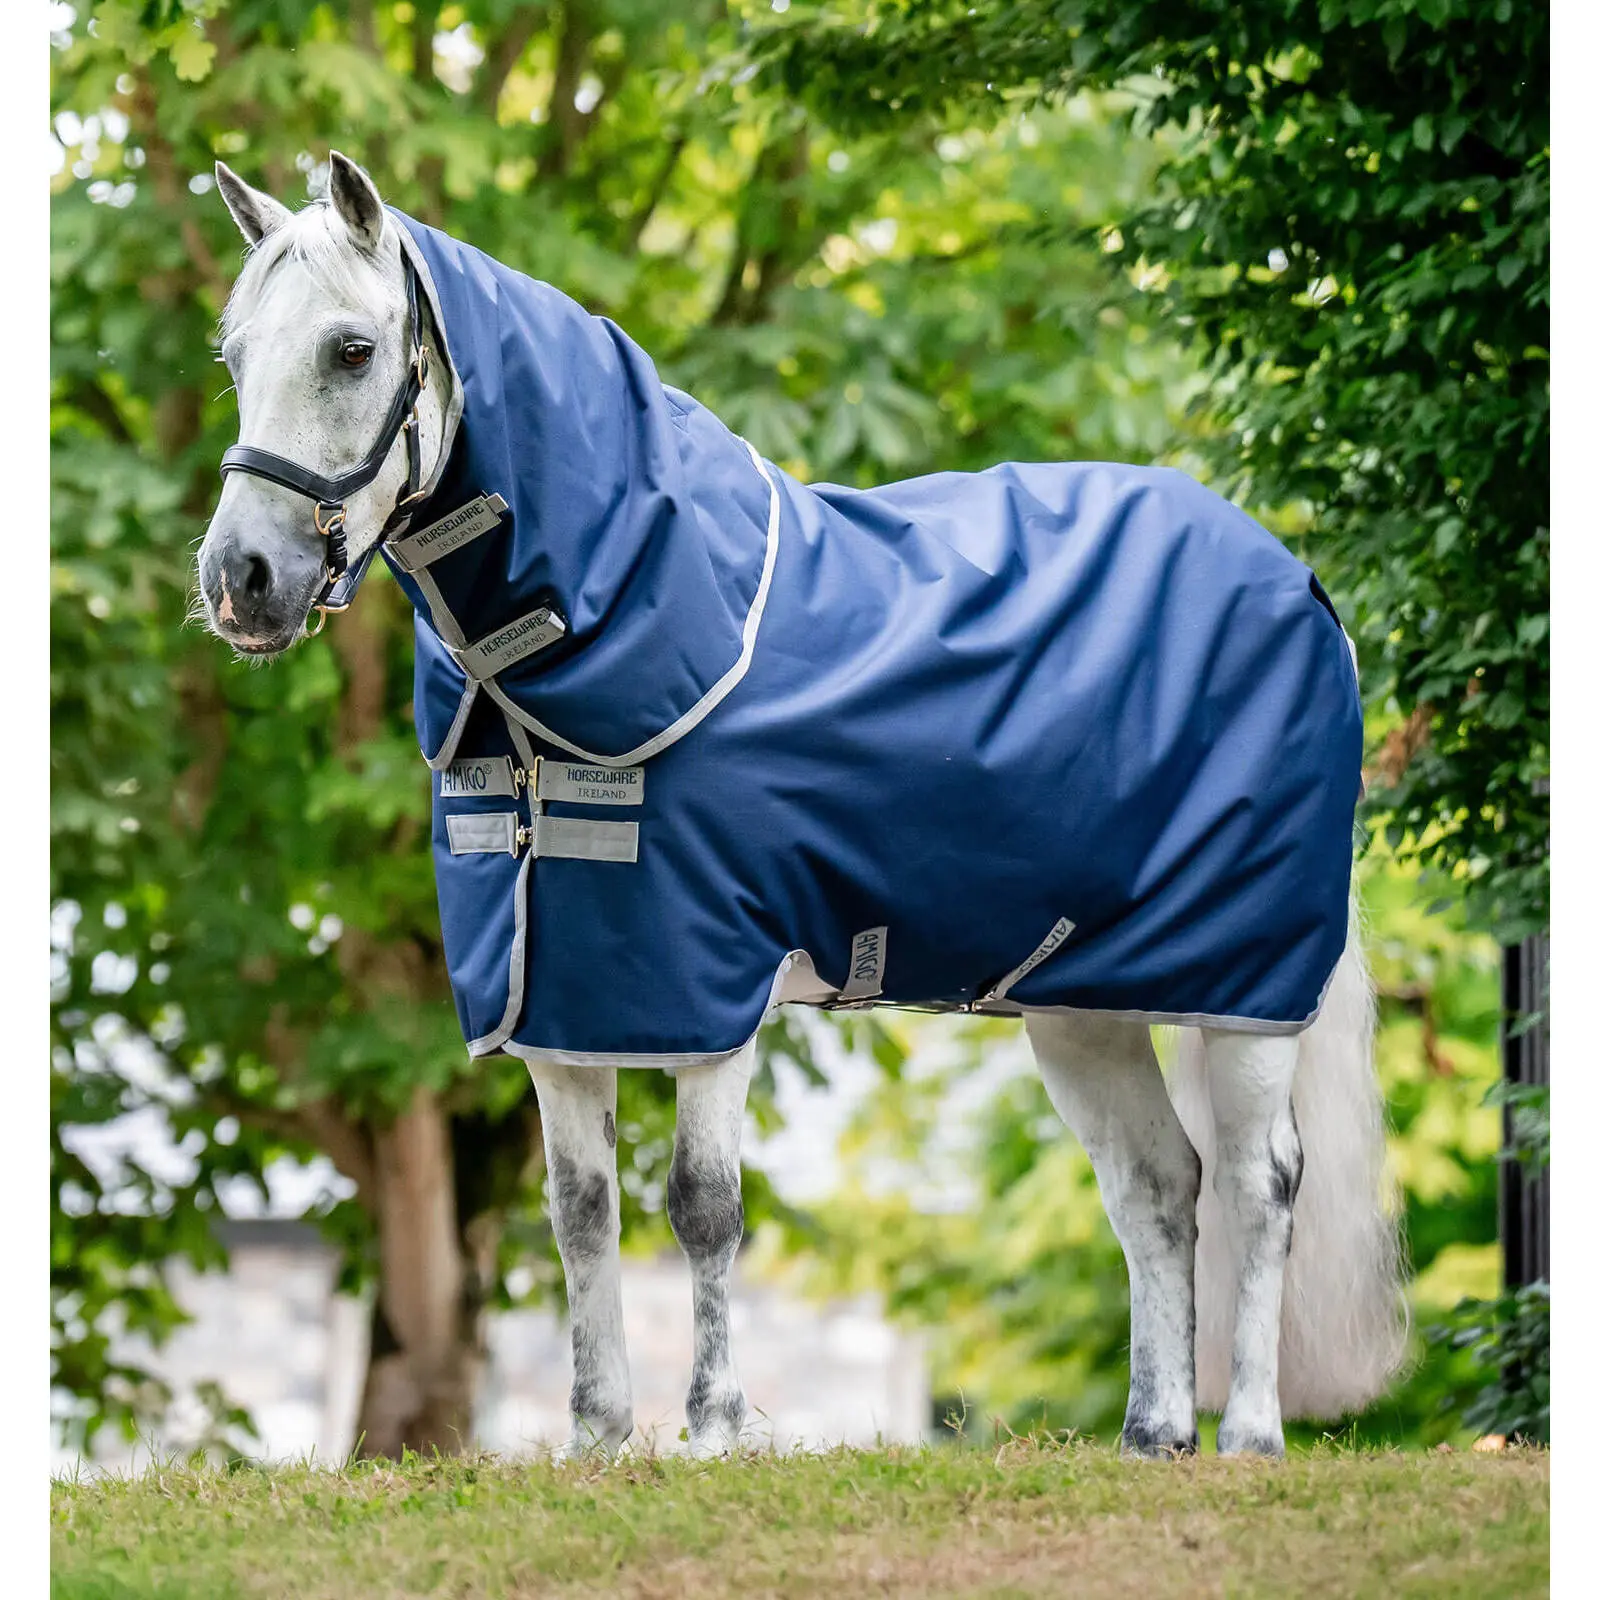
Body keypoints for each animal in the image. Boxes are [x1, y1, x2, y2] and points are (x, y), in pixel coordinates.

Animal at [196, 152, 1406, 1461]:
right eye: (235, 355)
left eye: (352, 350)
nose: (240, 580)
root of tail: (1301, 587)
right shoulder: (561, 994)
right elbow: (579, 1212)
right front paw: (597, 1439)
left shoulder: (709, 986)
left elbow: (701, 1205)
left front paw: (715, 1429)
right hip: (1080, 1004)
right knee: (1156, 1185)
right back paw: (1154, 1431)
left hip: (1249, 989)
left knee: (1257, 1182)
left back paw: (1250, 1435)